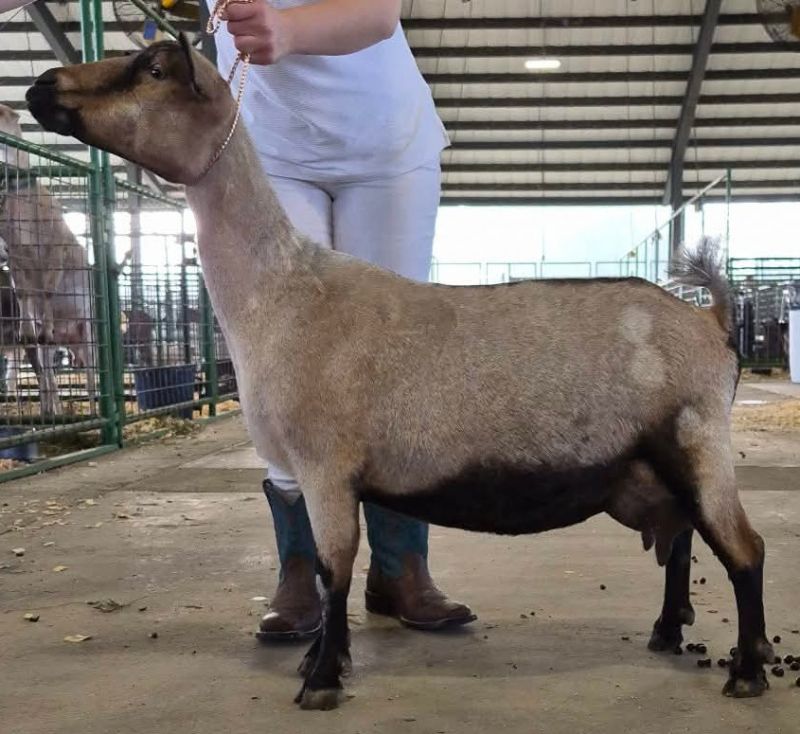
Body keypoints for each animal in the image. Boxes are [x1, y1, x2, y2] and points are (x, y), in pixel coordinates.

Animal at [26, 38, 773, 710]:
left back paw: (747, 670)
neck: (284, 292)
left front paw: (321, 681)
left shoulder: (326, 463)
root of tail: (710, 319)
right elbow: (325, 568)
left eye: (152, 69)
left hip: (697, 440)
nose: (40, 86)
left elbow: (333, 569)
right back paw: (668, 633)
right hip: (651, 464)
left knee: (743, 547)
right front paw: (320, 661)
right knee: (681, 537)